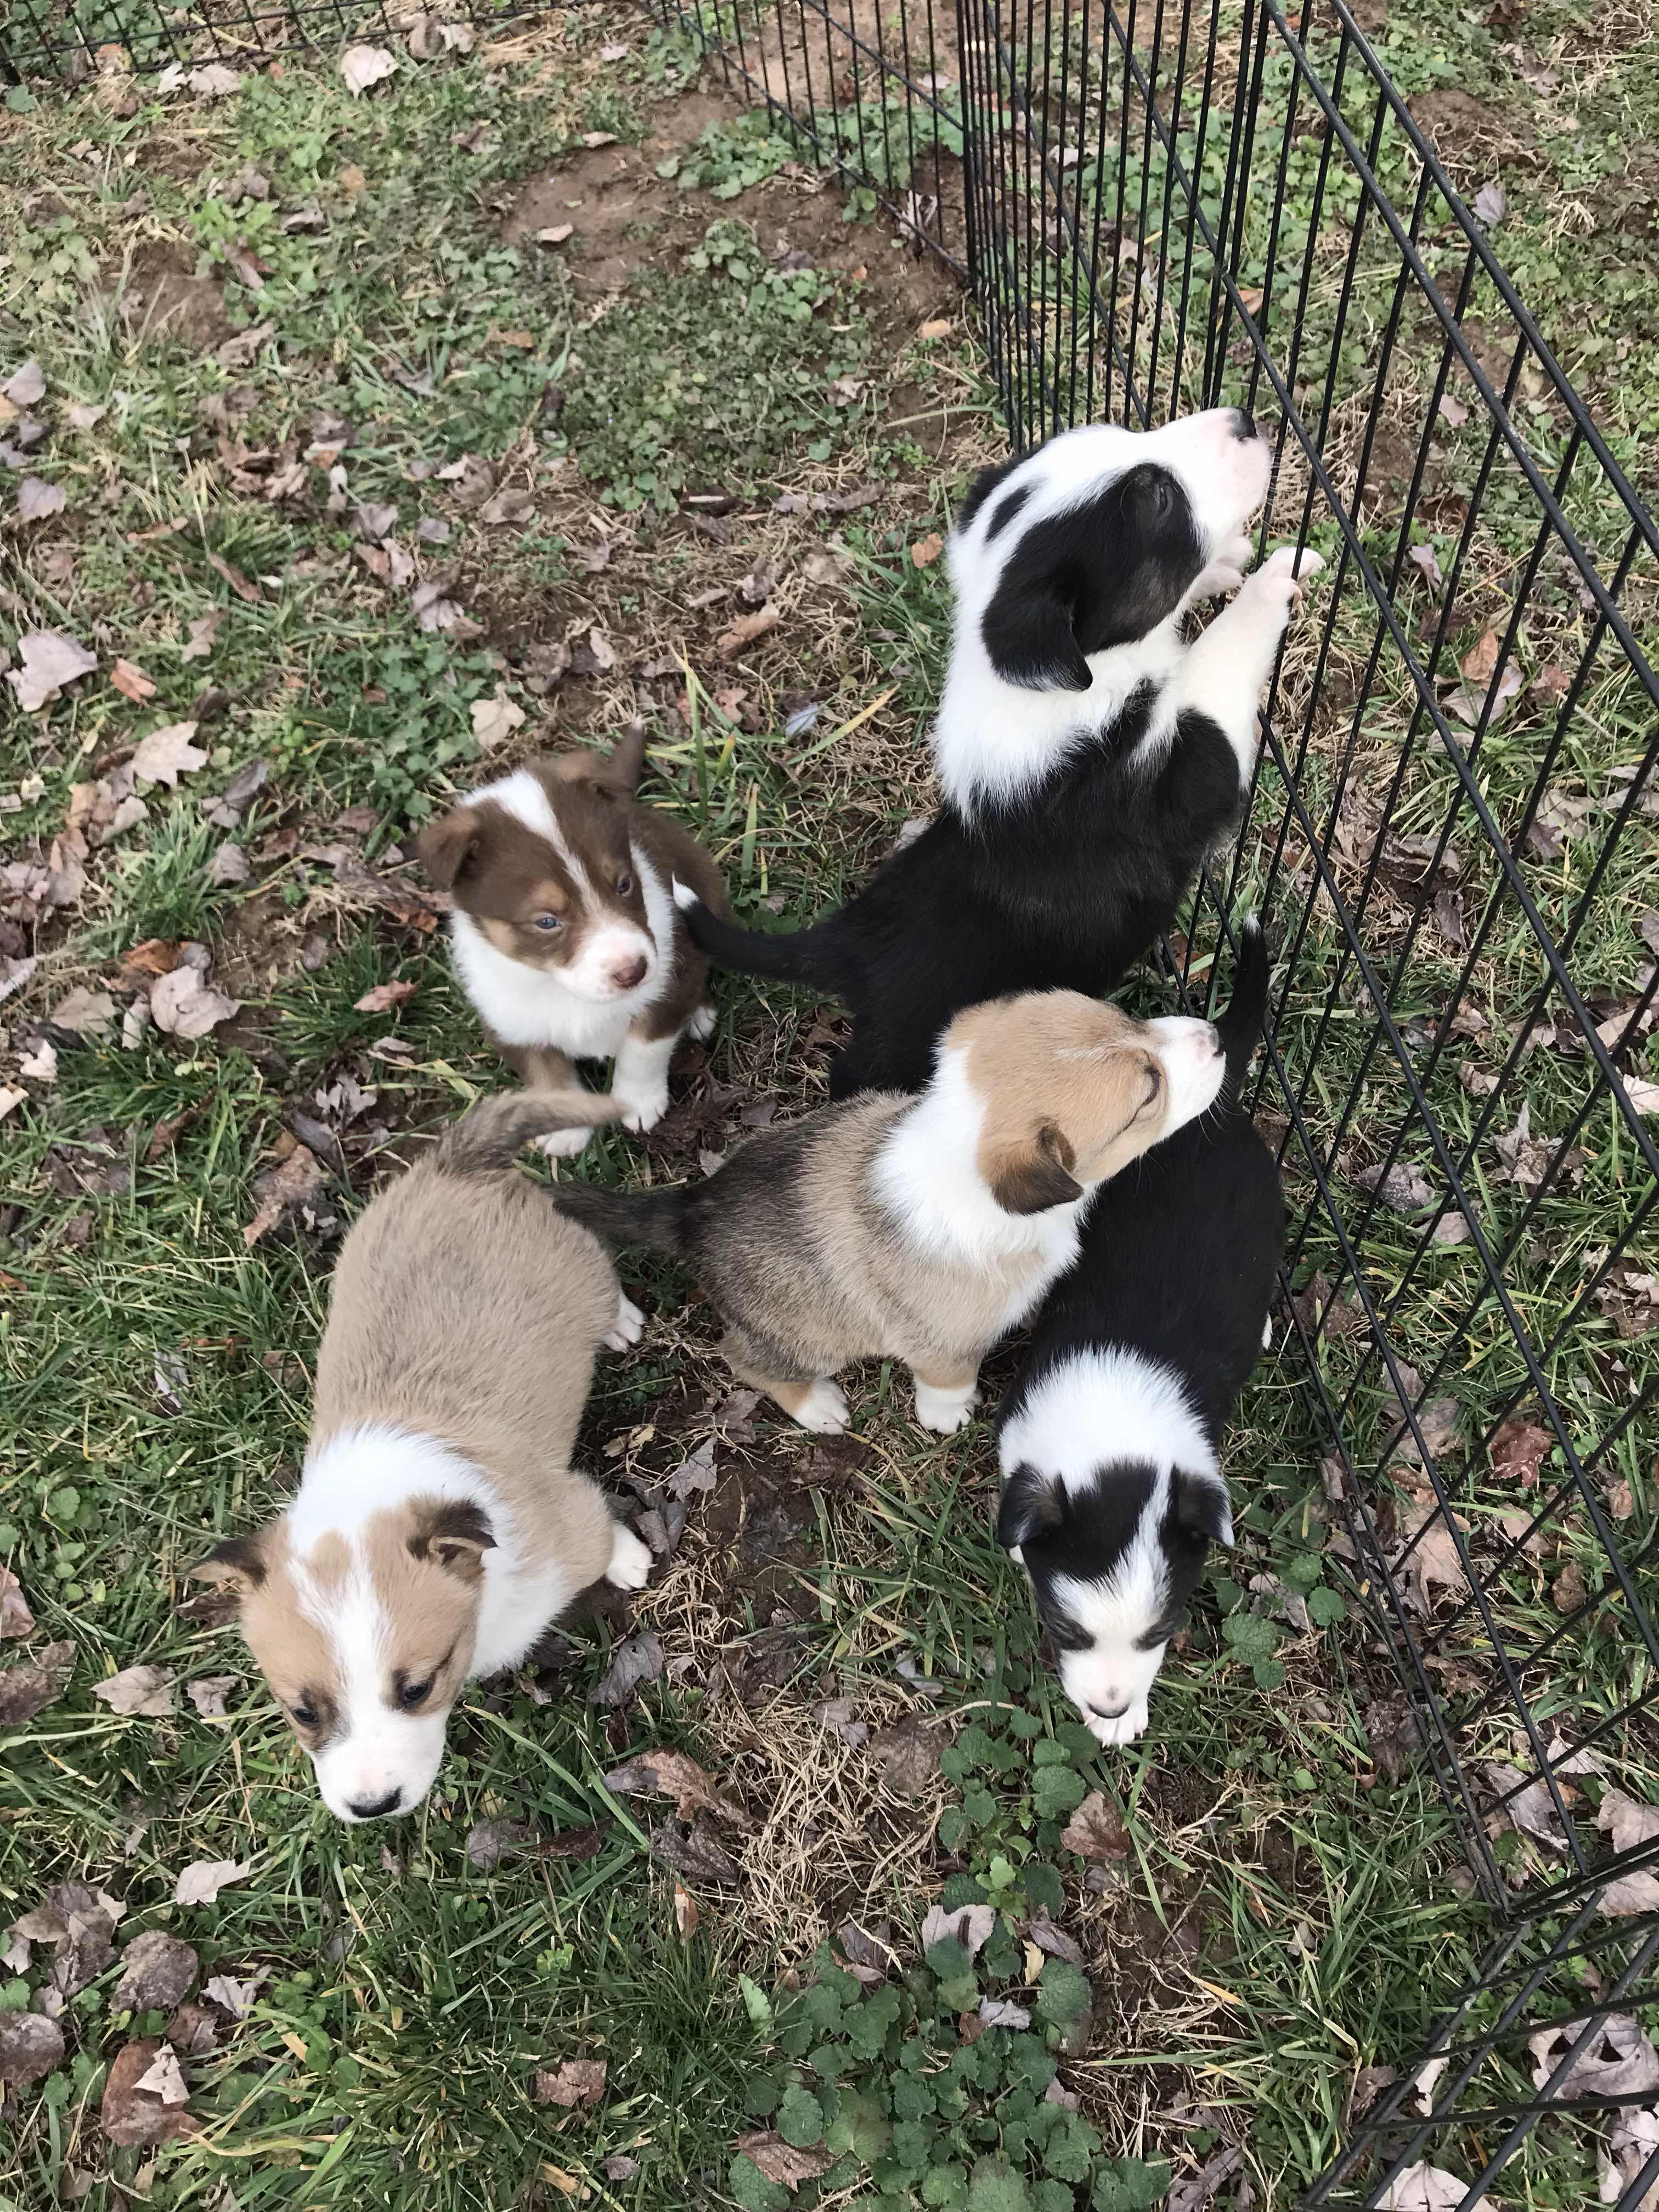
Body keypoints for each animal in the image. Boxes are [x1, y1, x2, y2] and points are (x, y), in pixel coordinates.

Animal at [193, 1092, 654, 1822]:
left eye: (416, 1689)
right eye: (303, 1712)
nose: (372, 1806)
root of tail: (452, 1165)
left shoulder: (571, 1520)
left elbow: (603, 1534)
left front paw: (630, 1559)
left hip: (580, 1264)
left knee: (605, 1283)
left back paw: (620, 1324)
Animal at [419, 727, 731, 1154]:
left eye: (624, 884)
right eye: (547, 921)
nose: (633, 972)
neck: (560, 987)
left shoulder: (669, 976)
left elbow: (643, 1048)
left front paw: (637, 1103)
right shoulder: (508, 1020)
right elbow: (546, 1075)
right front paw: (563, 1129)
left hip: (705, 891)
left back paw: (699, 1013)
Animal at [549, 987, 1231, 1438]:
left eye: (1128, 1017)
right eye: (1149, 1091)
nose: (1218, 1039)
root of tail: (691, 1209)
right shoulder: (942, 1343)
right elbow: (949, 1379)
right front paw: (948, 1416)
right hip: (808, 1340)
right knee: (741, 1359)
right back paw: (817, 1407)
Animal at [674, 410, 1321, 1096]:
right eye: (1159, 500)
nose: (1243, 418)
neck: (1070, 678)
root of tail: (847, 944)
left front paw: (1228, 564)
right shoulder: (1186, 773)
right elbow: (1218, 657)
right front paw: (1278, 572)